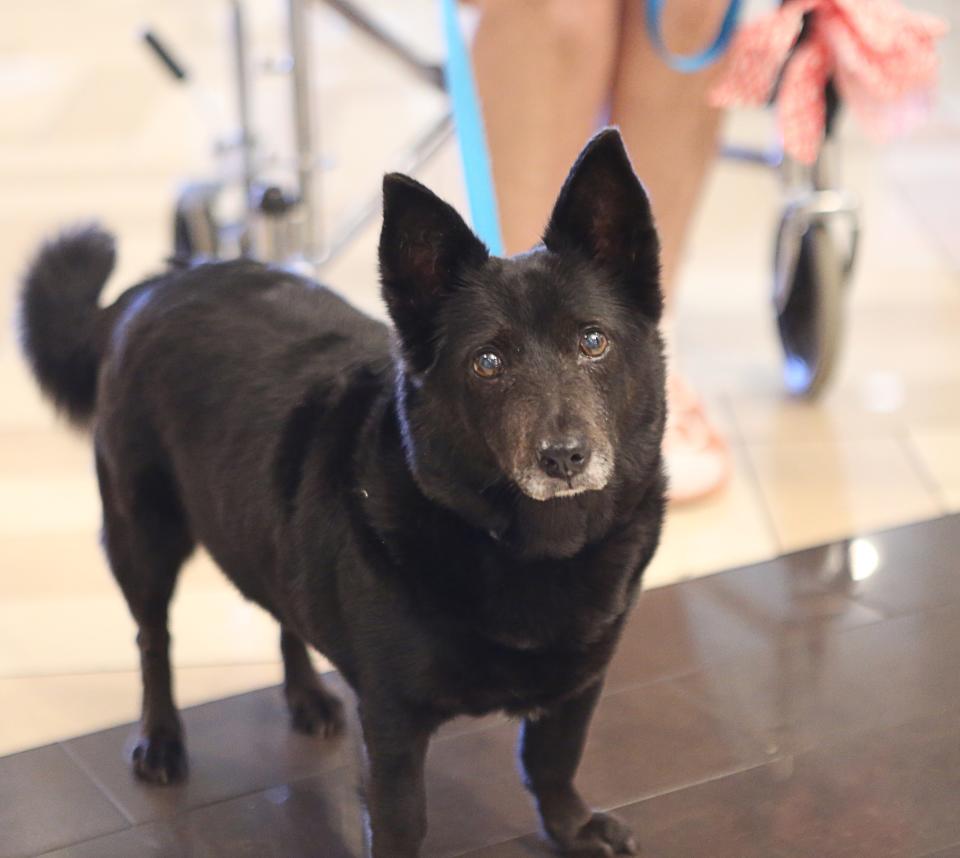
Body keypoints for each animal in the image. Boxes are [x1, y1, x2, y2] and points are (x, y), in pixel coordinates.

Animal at [18, 129, 664, 856]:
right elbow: (402, 819)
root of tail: (159, 280)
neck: (535, 545)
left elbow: (555, 761)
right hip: (142, 536)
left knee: (282, 610)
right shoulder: (391, 721)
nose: (564, 457)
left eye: (593, 341)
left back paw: (305, 698)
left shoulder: (581, 681)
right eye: (488, 363)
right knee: (153, 641)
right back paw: (160, 742)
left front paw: (573, 828)